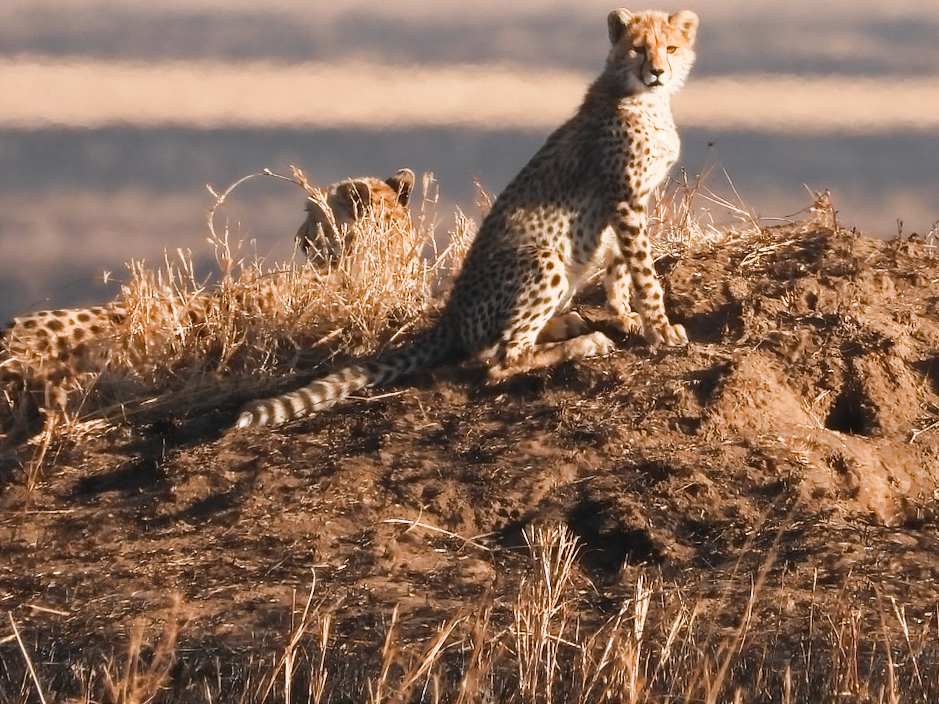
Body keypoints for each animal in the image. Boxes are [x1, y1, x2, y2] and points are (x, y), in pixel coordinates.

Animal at [233, 7, 699, 428]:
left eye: (671, 48)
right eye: (638, 49)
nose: (657, 72)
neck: (643, 98)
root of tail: (450, 316)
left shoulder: (632, 200)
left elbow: (622, 267)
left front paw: (628, 316)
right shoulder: (623, 199)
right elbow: (644, 272)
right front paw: (660, 329)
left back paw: (567, 323)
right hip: (543, 259)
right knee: (500, 361)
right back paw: (584, 343)